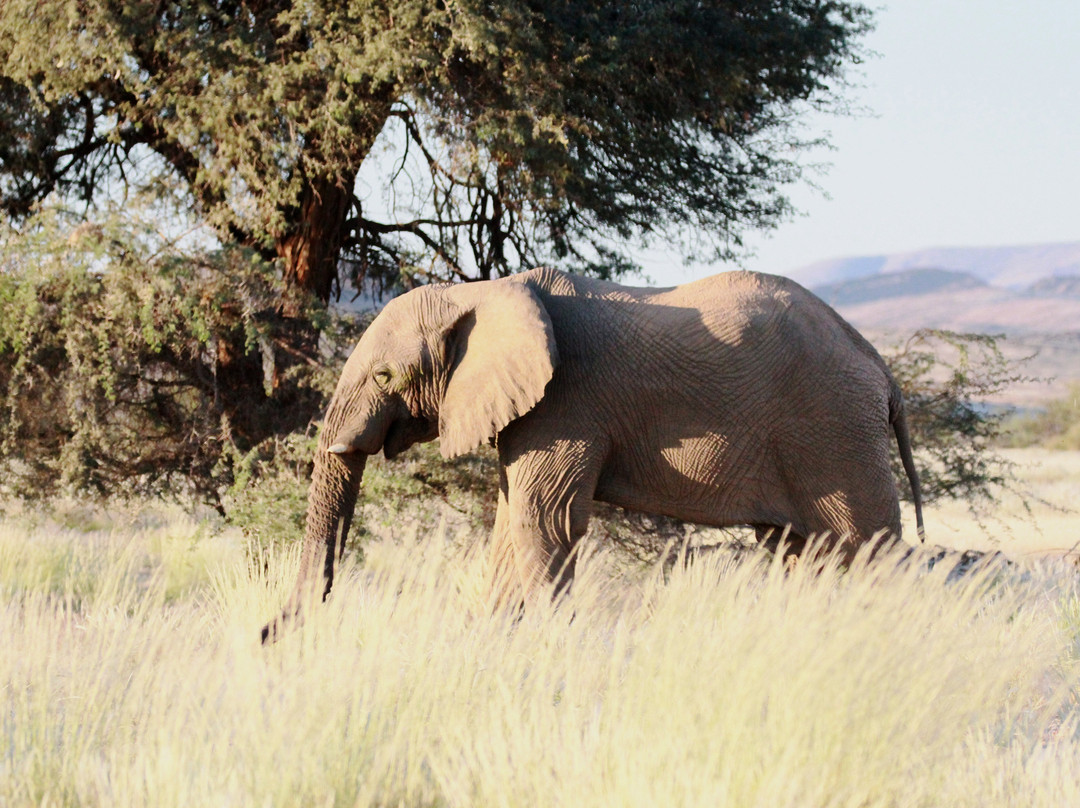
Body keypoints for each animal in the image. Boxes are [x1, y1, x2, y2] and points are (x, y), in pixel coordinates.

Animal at [261, 266, 924, 641]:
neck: (481, 292)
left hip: (834, 431)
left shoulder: (566, 403)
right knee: (803, 553)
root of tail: (882, 372)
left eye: (385, 376)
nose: (268, 634)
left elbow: (544, 522)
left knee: (868, 550)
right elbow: (511, 523)